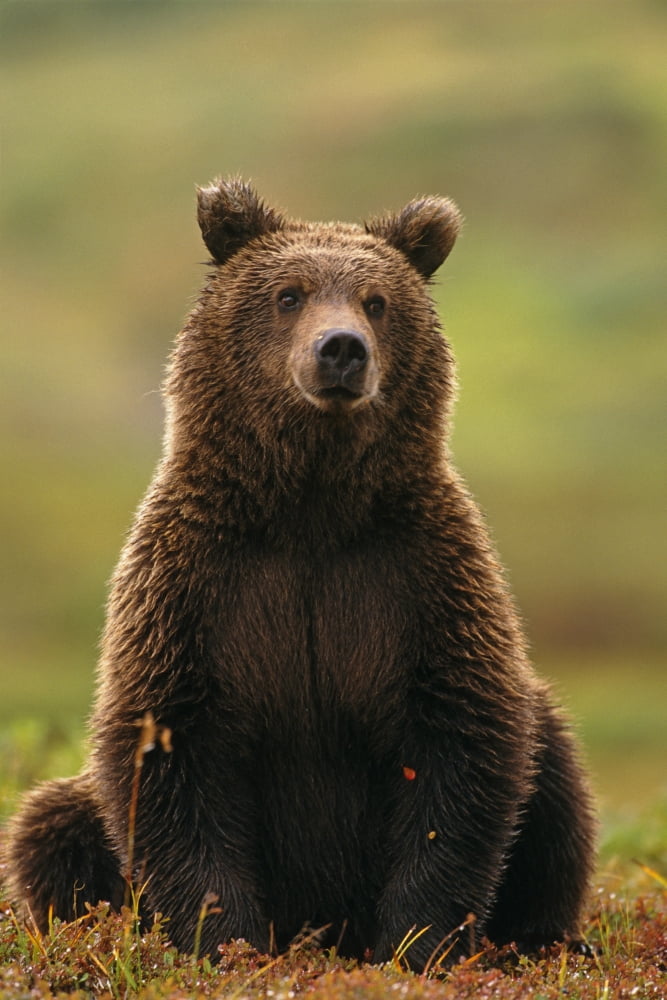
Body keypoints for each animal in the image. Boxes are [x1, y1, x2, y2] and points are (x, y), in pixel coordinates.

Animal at [6, 178, 596, 970]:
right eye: (289, 294)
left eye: (377, 301)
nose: (341, 349)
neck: (310, 510)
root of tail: (323, 931)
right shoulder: (197, 589)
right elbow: (170, 755)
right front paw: (225, 941)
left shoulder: (419, 579)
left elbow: (460, 746)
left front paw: (415, 944)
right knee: (52, 824)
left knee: (554, 772)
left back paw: (539, 940)